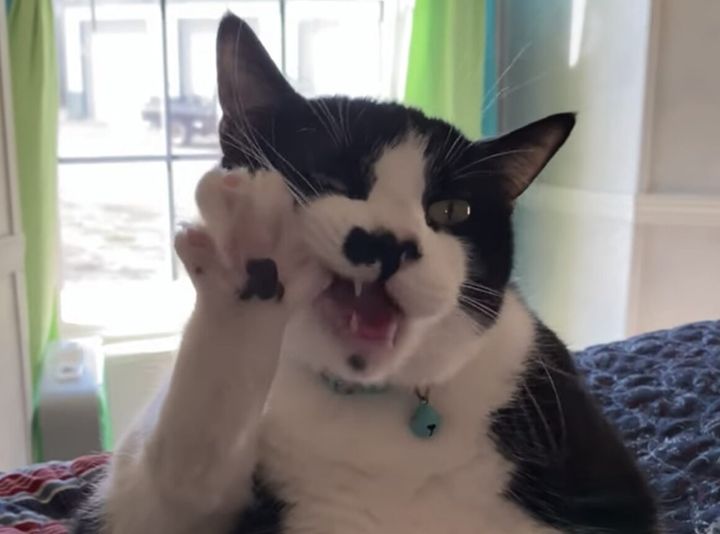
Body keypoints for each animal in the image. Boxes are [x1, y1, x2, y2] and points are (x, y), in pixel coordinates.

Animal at [73, 13, 659, 534]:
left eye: (452, 210)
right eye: (325, 178)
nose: (390, 243)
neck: (369, 405)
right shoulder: (138, 496)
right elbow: (180, 471)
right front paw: (253, 254)